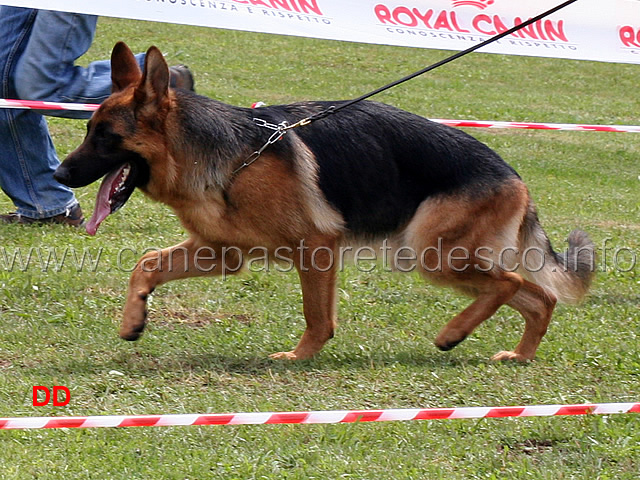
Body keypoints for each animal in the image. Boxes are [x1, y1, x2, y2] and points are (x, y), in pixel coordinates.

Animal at [55, 43, 596, 362]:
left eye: (105, 137)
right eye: (88, 129)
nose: (59, 174)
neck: (231, 158)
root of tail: (514, 175)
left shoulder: (315, 248)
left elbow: (317, 315)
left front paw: (300, 357)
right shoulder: (221, 253)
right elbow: (146, 263)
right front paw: (133, 320)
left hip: (430, 254)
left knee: (509, 283)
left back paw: (453, 334)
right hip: (441, 257)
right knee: (540, 296)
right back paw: (518, 355)